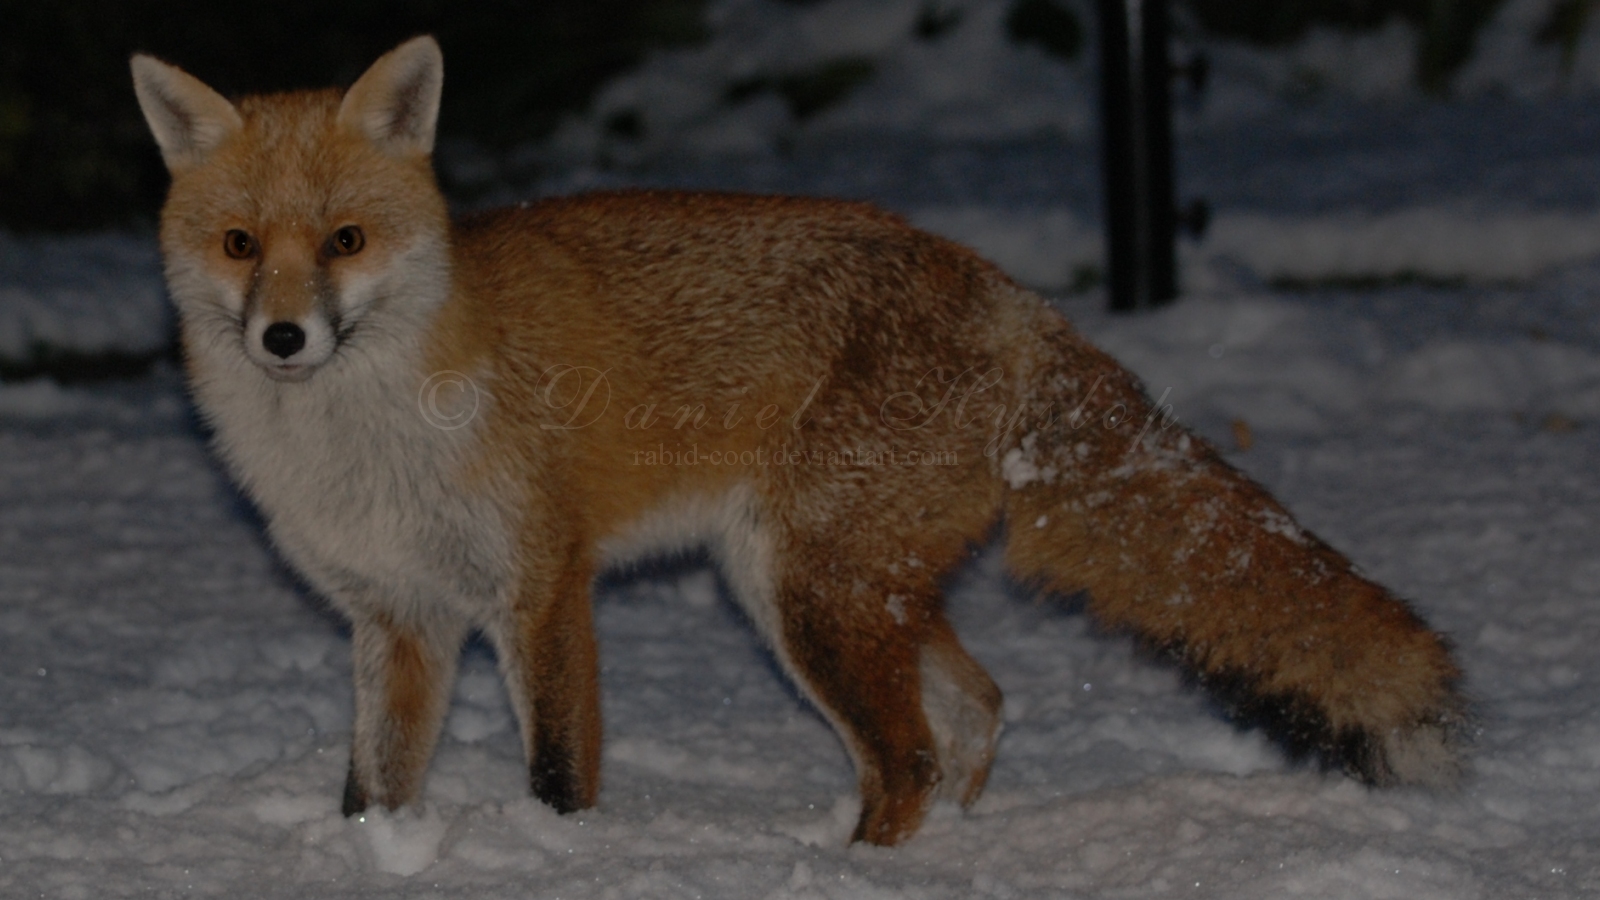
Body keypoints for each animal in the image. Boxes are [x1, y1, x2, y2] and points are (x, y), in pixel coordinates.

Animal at [134, 38, 1465, 845]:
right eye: (242, 245)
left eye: (347, 241)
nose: (285, 337)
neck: (362, 439)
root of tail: (1006, 295)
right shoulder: (399, 618)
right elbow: (374, 792)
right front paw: (374, 855)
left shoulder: (539, 586)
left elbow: (558, 774)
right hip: (833, 587)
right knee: (977, 706)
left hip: (808, 594)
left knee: (909, 756)